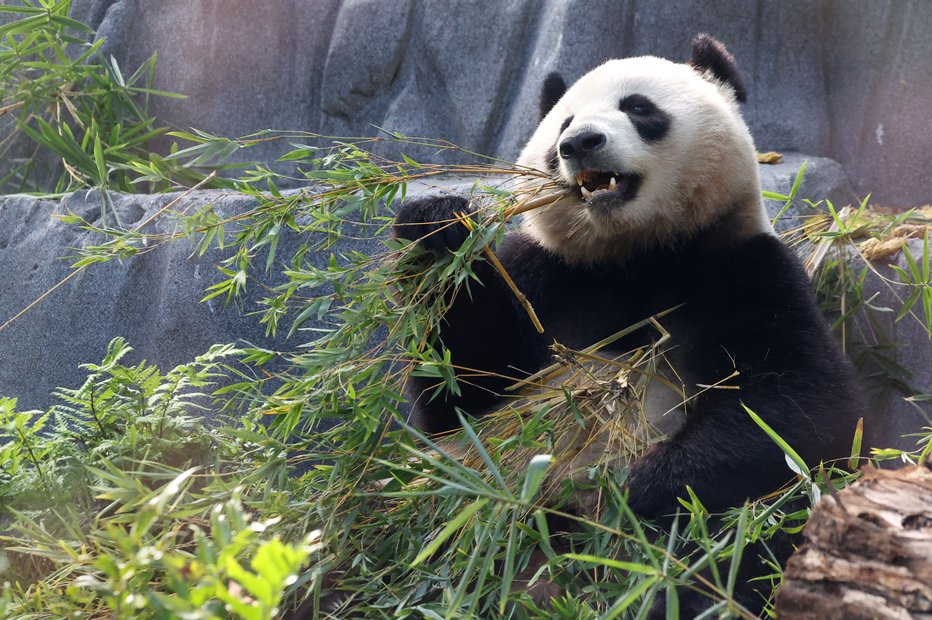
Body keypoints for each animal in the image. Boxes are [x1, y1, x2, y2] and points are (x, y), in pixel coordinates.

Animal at [392, 37, 868, 616]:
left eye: (638, 107)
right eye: (563, 122)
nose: (580, 142)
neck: (635, 255)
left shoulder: (746, 269)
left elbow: (801, 409)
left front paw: (637, 489)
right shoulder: (545, 276)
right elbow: (462, 397)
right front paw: (437, 226)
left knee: (757, 537)